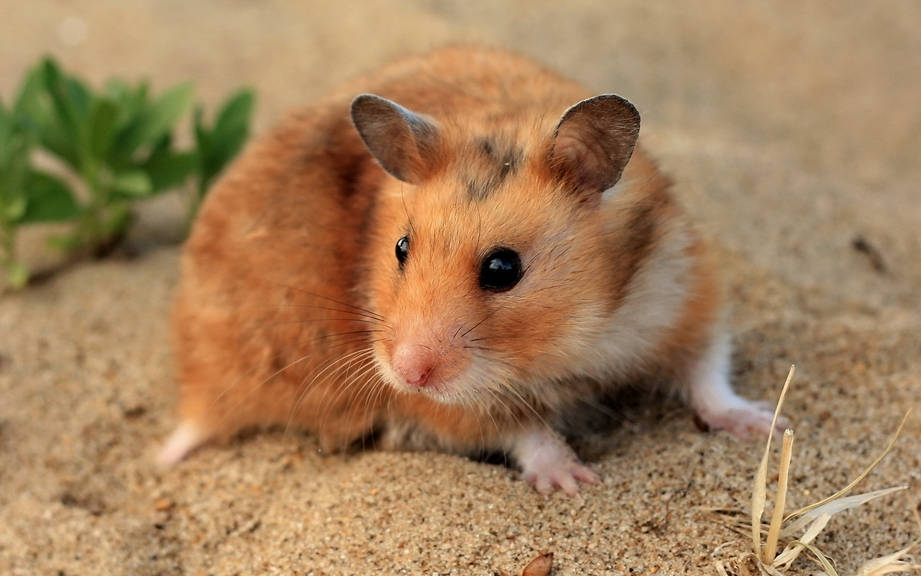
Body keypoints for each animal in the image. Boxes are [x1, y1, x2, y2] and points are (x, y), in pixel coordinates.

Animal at [159, 46, 780, 494]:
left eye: (504, 268)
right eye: (401, 247)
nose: (406, 373)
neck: (579, 337)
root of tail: (192, 379)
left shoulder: (685, 296)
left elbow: (708, 376)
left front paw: (765, 426)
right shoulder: (445, 410)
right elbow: (523, 429)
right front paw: (574, 482)